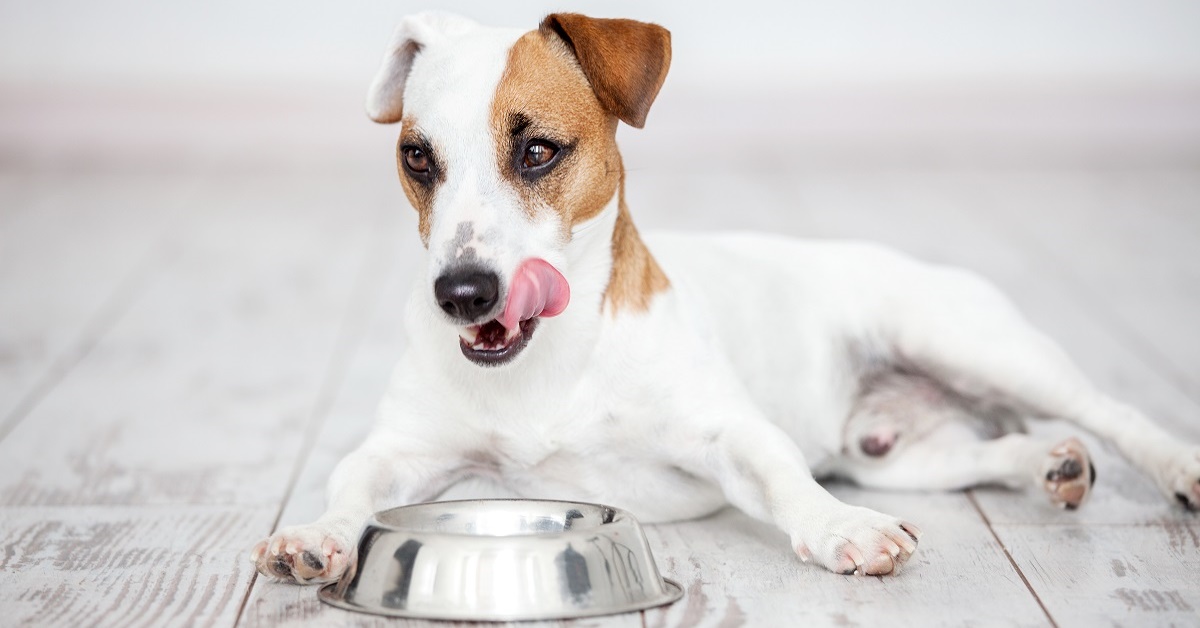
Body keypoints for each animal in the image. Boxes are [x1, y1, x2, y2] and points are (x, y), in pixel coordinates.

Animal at [250, 11, 1200, 581]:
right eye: (418, 158)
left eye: (538, 151)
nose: (462, 292)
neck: (554, 360)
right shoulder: (404, 449)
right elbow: (354, 478)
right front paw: (318, 533)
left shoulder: (728, 432)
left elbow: (780, 475)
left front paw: (841, 529)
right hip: (890, 454)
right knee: (984, 452)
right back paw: (1045, 463)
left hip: (969, 341)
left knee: (1110, 412)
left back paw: (1174, 466)